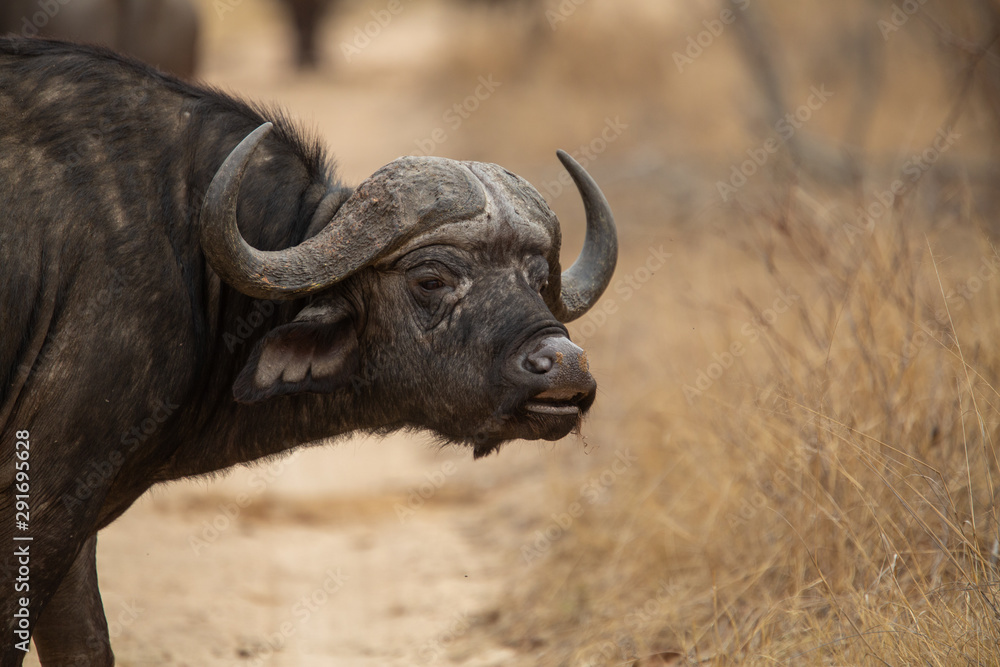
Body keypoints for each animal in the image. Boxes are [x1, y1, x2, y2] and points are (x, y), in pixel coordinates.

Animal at [0, 39, 616, 664]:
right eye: (431, 279)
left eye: (538, 278)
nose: (565, 365)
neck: (194, 260)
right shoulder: (48, 493)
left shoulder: (73, 521)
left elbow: (86, 642)